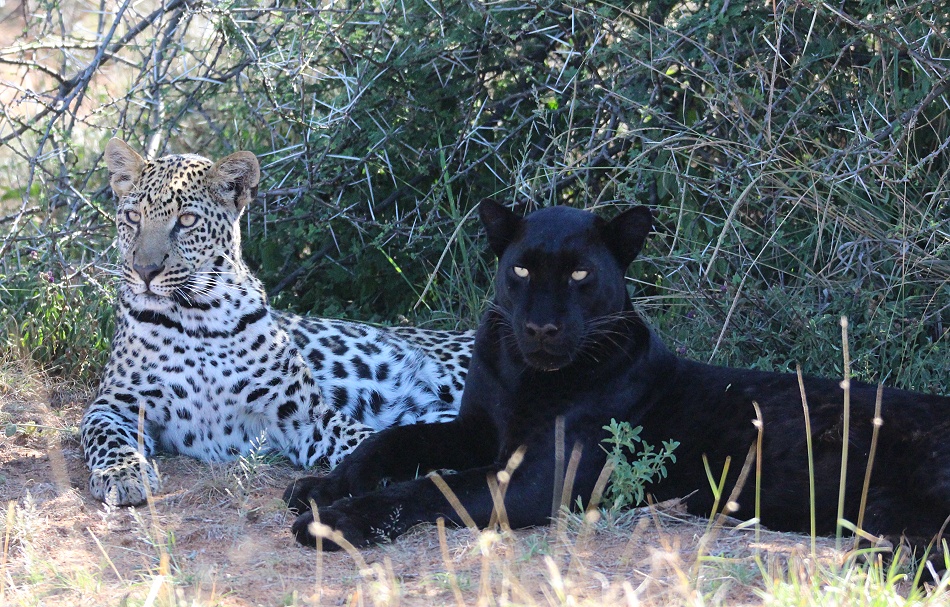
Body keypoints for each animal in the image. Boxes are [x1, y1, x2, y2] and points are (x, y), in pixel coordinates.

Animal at [80, 138, 474, 507]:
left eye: (187, 221)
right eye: (133, 217)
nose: (144, 271)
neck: (198, 314)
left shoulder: (305, 416)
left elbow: (366, 439)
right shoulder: (114, 405)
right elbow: (105, 438)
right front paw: (123, 475)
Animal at [284, 200, 950, 555]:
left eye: (580, 274)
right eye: (521, 269)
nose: (542, 327)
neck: (525, 377)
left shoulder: (541, 474)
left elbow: (433, 487)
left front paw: (335, 522)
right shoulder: (477, 429)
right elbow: (395, 440)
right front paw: (324, 484)